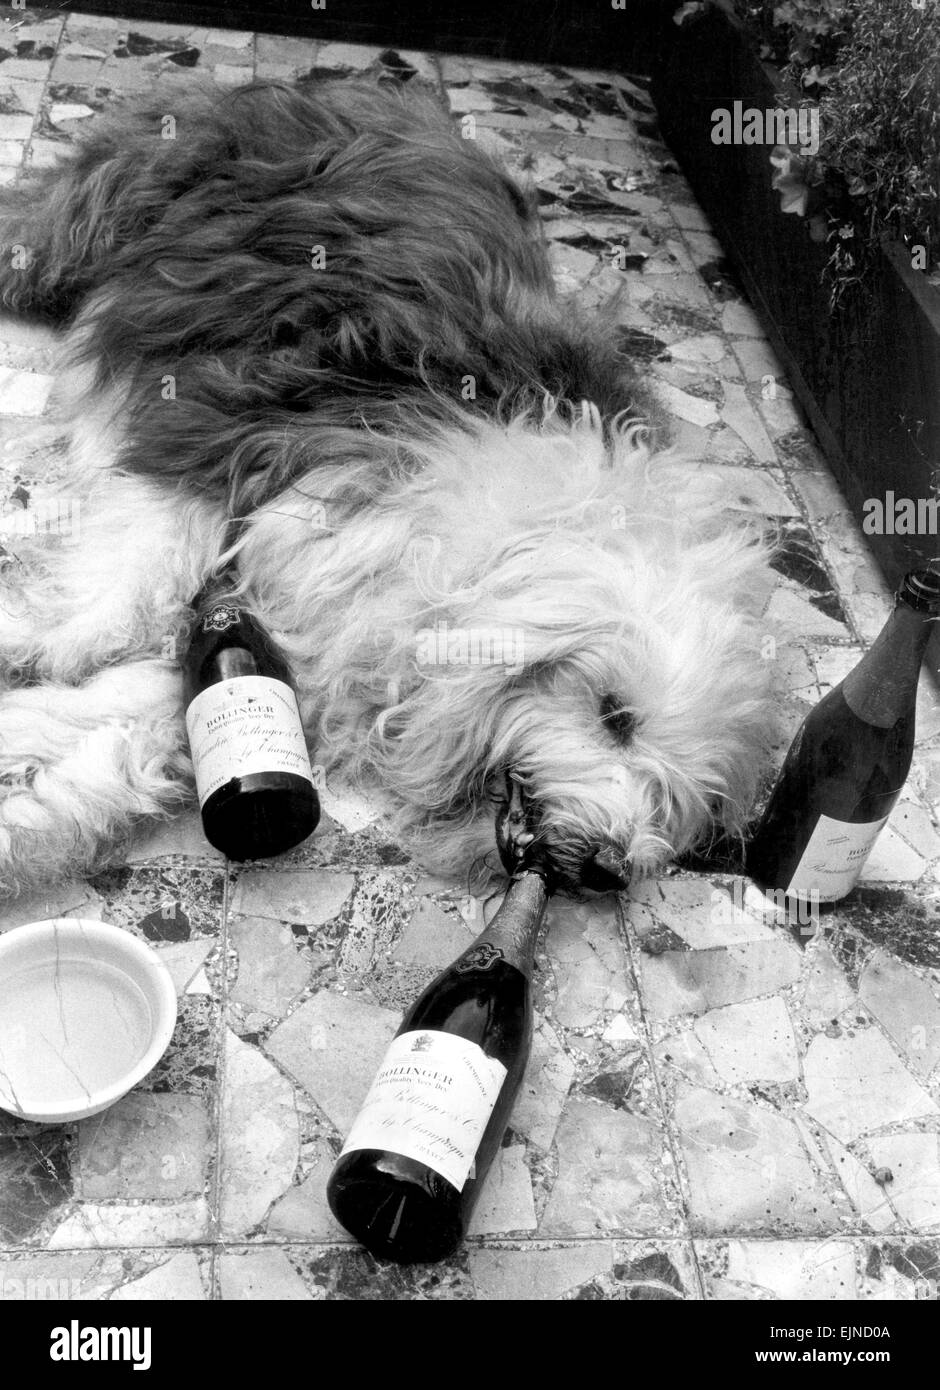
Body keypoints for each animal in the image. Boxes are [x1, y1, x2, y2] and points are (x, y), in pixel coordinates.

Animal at [0, 76, 773, 895]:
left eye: (682, 798)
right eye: (615, 715)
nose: (608, 868)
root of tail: (365, 87)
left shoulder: (305, 650)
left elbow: (122, 733)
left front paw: (23, 809)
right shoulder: (232, 437)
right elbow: (125, 584)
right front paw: (33, 639)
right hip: (89, 223)